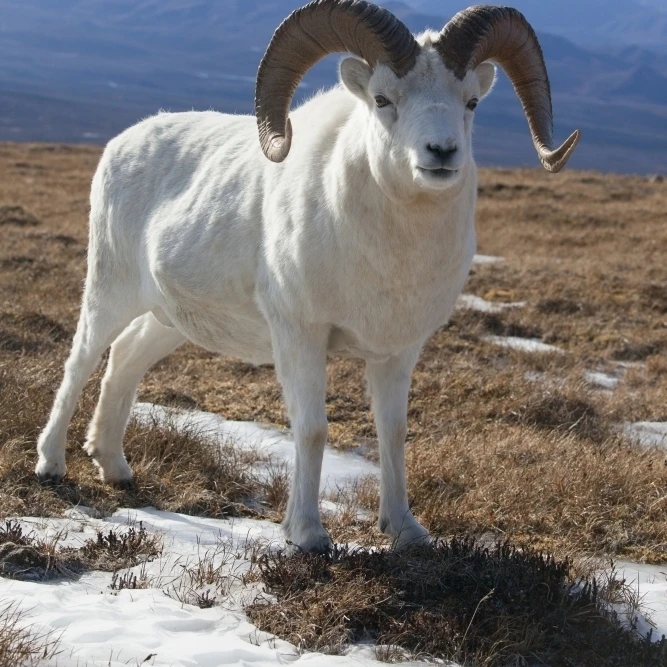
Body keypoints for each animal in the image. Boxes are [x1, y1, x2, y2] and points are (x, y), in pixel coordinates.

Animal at [35, 1, 580, 553]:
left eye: (469, 101)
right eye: (383, 98)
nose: (442, 152)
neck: (386, 256)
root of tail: (121, 144)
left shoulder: (396, 352)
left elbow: (393, 432)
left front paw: (405, 530)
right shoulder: (301, 335)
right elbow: (313, 429)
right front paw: (308, 535)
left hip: (169, 320)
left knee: (125, 357)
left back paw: (114, 468)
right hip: (110, 291)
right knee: (81, 360)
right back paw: (51, 465)